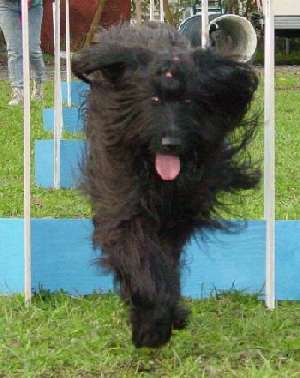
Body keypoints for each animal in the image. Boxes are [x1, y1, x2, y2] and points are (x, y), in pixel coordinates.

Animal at [72, 22, 260, 348]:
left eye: (188, 101)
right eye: (154, 100)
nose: (171, 143)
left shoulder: (178, 215)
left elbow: (166, 260)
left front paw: (168, 314)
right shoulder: (122, 200)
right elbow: (139, 255)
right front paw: (152, 324)